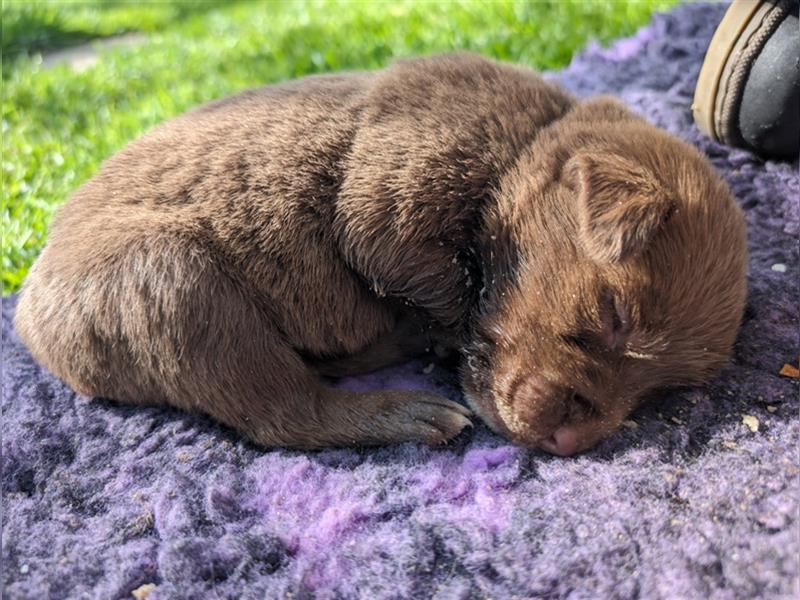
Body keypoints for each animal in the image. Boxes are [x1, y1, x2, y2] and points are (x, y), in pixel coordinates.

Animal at [14, 54, 752, 454]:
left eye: (661, 391)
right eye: (611, 317)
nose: (569, 442)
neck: (524, 143)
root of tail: (25, 313)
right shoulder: (397, 185)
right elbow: (420, 271)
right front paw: (445, 331)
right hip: (177, 282)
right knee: (282, 412)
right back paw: (405, 406)